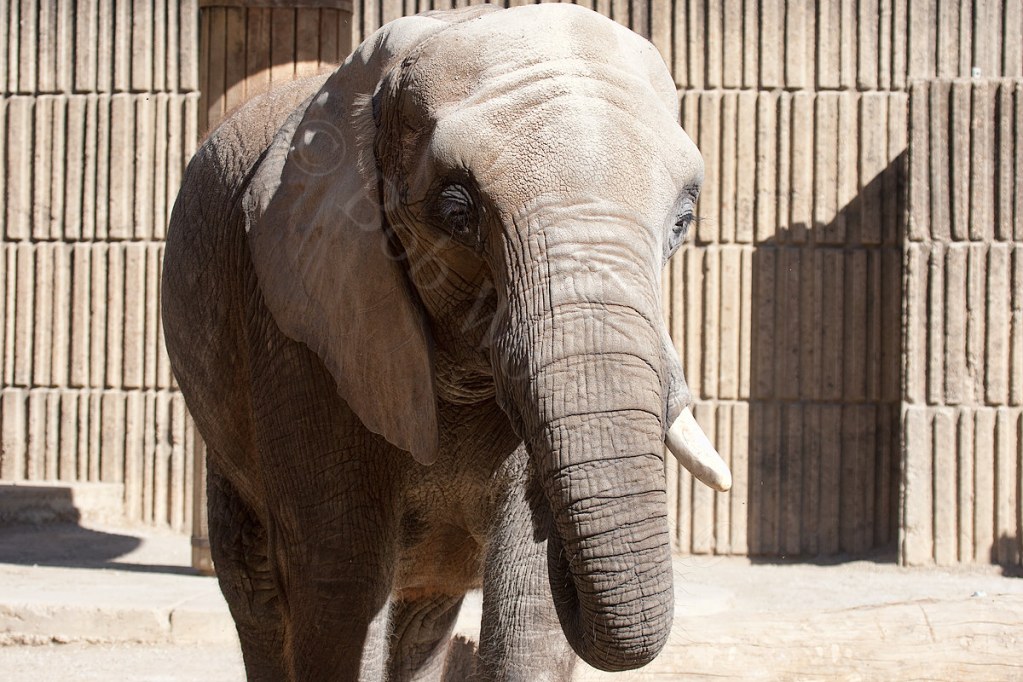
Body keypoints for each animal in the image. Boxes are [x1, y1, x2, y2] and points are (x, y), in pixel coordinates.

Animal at [161, 4, 731, 680]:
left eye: (683, 222)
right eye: (458, 213)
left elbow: (529, 609)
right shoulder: (297, 324)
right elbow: (339, 584)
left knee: (425, 613)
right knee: (258, 591)